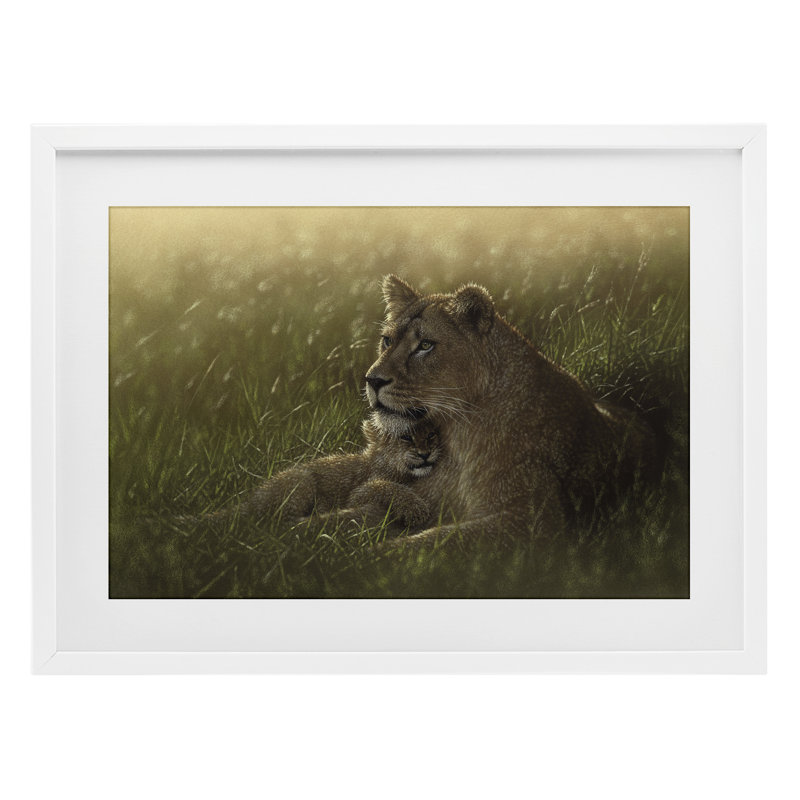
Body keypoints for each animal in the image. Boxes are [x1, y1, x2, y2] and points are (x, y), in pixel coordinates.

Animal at [362, 274, 657, 550]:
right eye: (387, 340)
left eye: (425, 345)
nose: (373, 380)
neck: (457, 436)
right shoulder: (426, 496)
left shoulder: (535, 519)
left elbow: (434, 542)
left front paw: (370, 556)